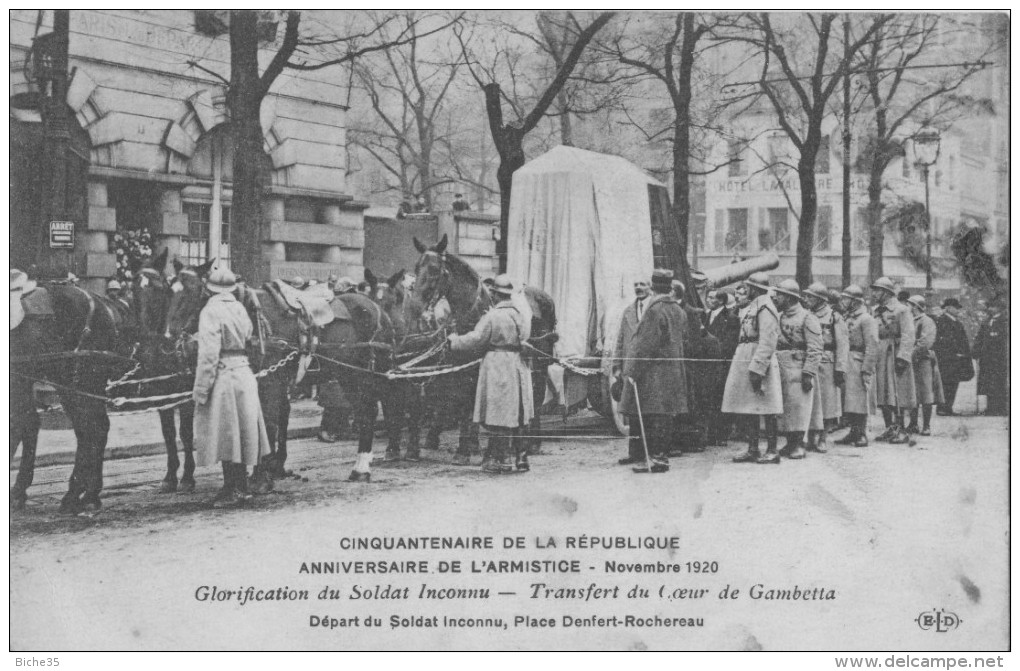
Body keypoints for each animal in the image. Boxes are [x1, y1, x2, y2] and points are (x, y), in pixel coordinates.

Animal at [410, 232, 558, 456]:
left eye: (435, 269)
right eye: (417, 267)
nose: (416, 307)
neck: (474, 312)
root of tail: (545, 297)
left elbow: (467, 402)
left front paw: (465, 448)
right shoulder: (457, 366)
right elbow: (457, 399)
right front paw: (467, 444)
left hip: (540, 362)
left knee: (537, 393)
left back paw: (532, 441)